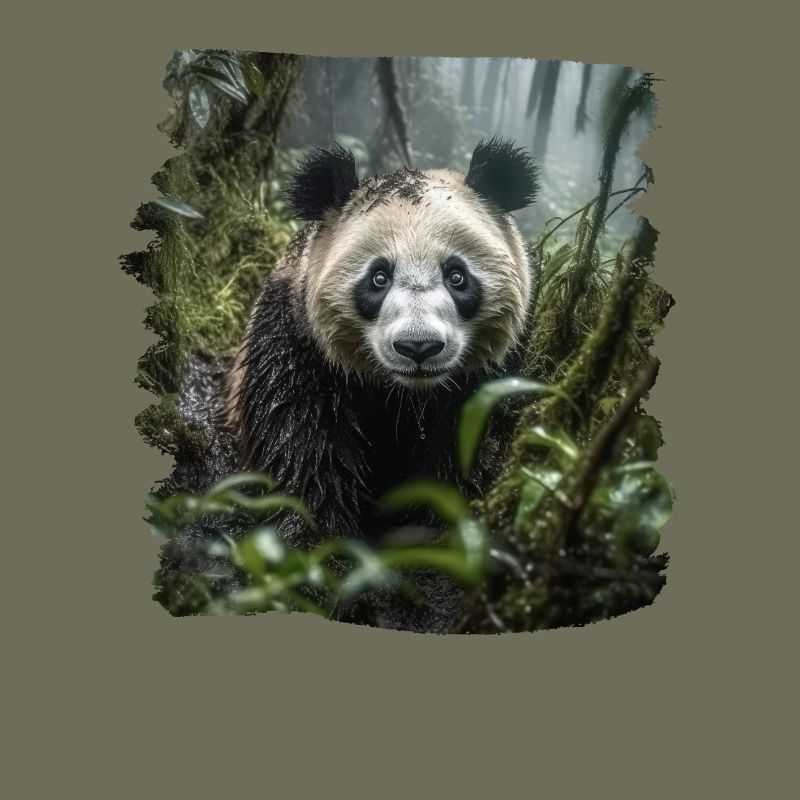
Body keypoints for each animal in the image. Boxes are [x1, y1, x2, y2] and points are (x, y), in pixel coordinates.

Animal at [226, 137, 540, 632]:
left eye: (457, 275)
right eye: (379, 277)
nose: (418, 347)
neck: (402, 393)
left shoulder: (487, 374)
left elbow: (458, 453)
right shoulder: (299, 346)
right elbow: (304, 450)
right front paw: (322, 562)